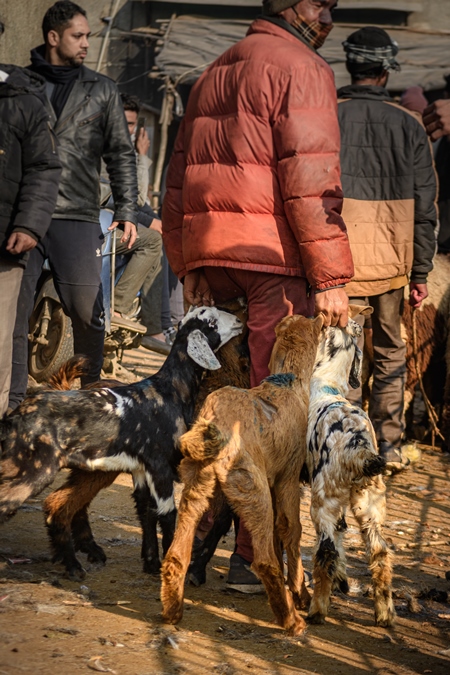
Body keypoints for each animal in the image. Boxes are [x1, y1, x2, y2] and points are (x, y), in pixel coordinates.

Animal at [0, 304, 243, 576]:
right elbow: (168, 514)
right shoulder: (159, 466)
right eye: (211, 321)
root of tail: (16, 415)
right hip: (33, 470)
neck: (169, 391)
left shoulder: (140, 469)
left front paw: (151, 562)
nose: (239, 321)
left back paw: (73, 564)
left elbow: (148, 511)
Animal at [160, 314, 322, 636]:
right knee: (264, 560)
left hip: (197, 486)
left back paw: (173, 610)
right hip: (251, 489)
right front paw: (301, 594)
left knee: (177, 553)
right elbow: (291, 529)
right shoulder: (286, 479)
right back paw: (291, 620)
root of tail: (216, 425)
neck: (288, 382)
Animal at [306, 306, 394, 628]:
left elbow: (334, 544)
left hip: (323, 501)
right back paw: (384, 613)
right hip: (370, 504)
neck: (326, 384)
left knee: (325, 551)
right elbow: (343, 534)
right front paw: (342, 580)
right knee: (379, 553)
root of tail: (359, 447)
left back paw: (317, 610)